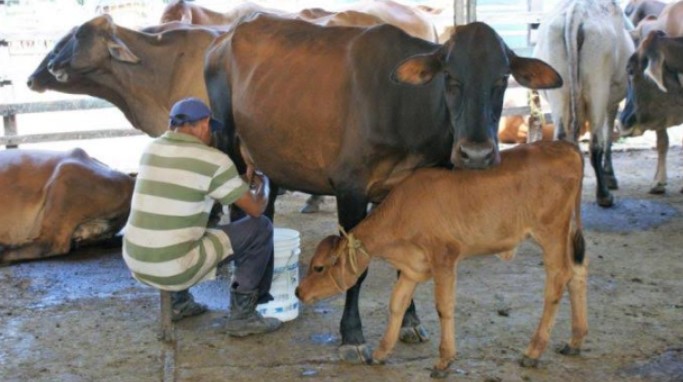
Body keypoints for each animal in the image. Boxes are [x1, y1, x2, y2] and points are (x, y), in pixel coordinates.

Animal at [204, 14, 560, 362]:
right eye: (449, 76)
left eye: (502, 78)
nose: (476, 154)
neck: (405, 112)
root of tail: (227, 35)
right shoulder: (351, 187)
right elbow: (354, 267)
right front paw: (352, 336)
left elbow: (406, 264)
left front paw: (410, 322)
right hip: (228, 144)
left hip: (272, 157)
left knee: (263, 212)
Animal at [296, 140, 588, 376]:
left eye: (318, 267)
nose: (299, 292)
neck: (403, 211)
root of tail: (565, 146)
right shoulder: (412, 268)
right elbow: (396, 304)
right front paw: (380, 353)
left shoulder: (444, 257)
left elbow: (443, 307)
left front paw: (444, 361)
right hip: (567, 232)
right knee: (577, 272)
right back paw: (575, 342)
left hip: (551, 232)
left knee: (558, 278)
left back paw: (533, 352)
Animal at [536, 0, 636, 207]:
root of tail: (577, 12)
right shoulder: (611, 101)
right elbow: (608, 135)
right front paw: (610, 176)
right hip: (598, 85)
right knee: (595, 143)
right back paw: (604, 195)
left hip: (559, 88)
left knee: (563, 136)